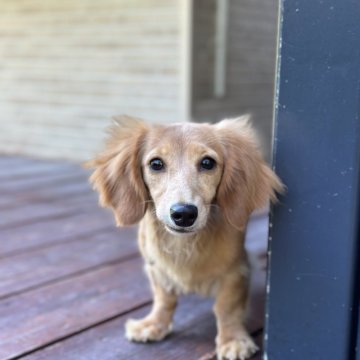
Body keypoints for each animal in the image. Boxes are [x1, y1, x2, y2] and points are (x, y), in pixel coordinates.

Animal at [88, 115, 284, 360]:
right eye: (156, 164)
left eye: (208, 163)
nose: (184, 214)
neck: (184, 245)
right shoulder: (156, 269)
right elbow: (164, 299)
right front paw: (154, 324)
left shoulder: (236, 272)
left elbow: (227, 307)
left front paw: (232, 339)